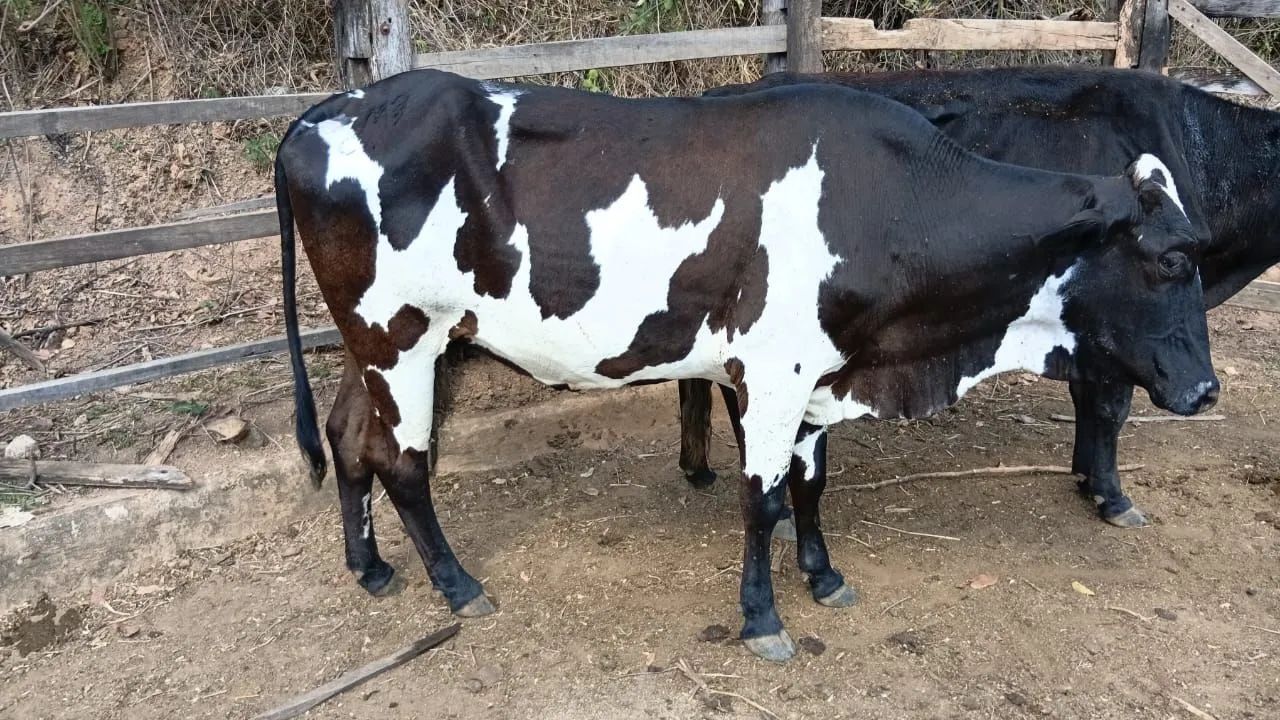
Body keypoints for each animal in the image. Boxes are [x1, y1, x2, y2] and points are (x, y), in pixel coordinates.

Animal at [274, 69, 1218, 661]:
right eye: (1173, 259)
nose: (1208, 389)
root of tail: (324, 111)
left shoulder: (818, 375)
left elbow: (809, 485)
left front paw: (824, 575)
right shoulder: (772, 371)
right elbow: (760, 499)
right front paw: (763, 618)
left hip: (374, 342)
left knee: (348, 438)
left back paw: (370, 568)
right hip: (400, 336)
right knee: (401, 462)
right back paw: (458, 585)